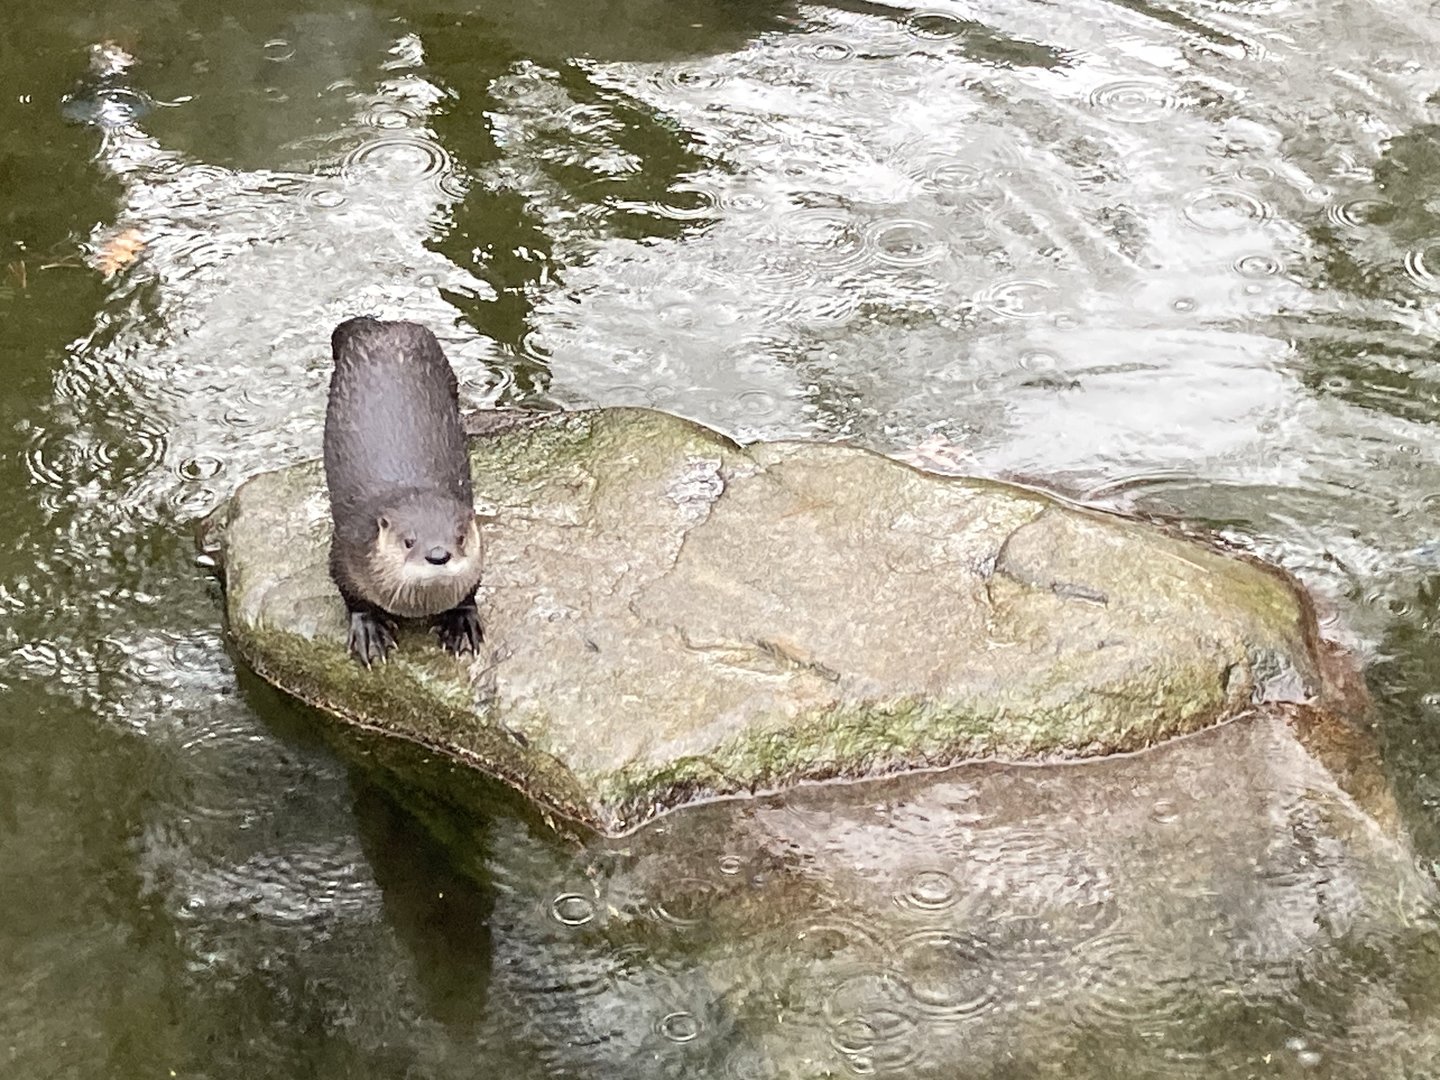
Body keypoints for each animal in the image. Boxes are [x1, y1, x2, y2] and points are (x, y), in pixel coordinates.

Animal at [324, 316, 483, 666]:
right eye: (409, 540)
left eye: (459, 538)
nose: (438, 554)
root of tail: (378, 328)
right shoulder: (344, 548)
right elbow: (351, 594)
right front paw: (368, 628)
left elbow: (470, 591)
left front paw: (461, 621)